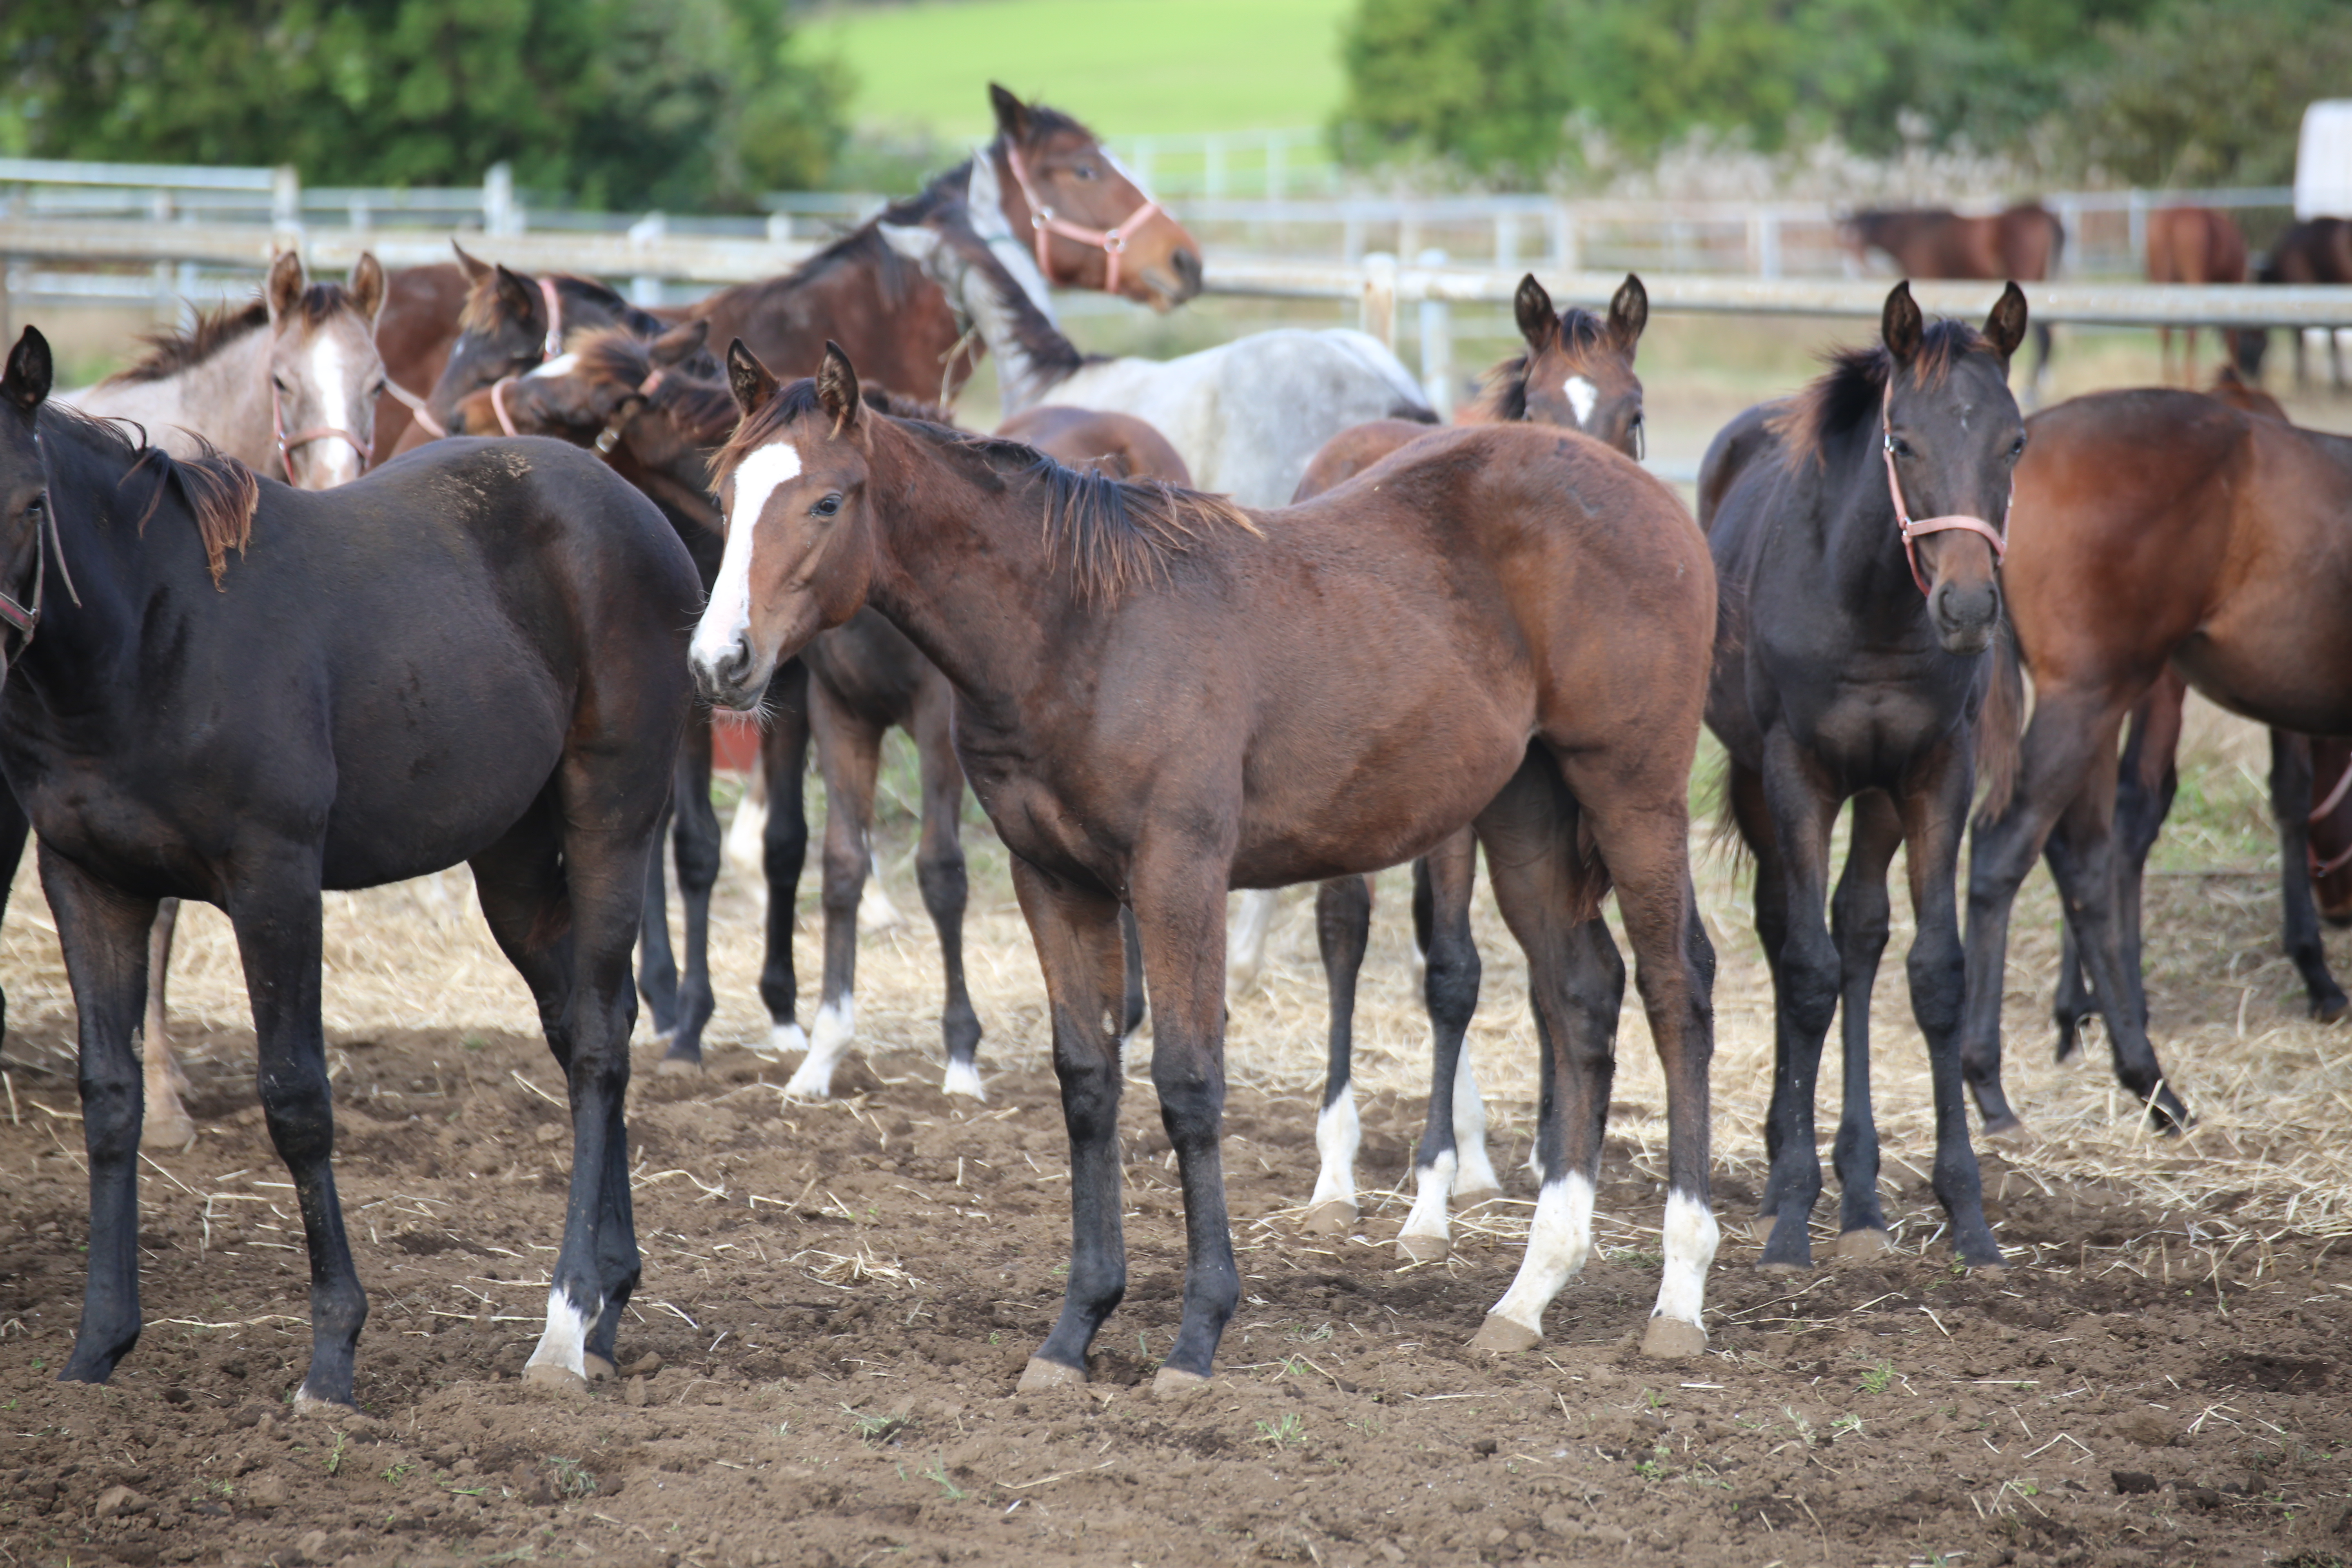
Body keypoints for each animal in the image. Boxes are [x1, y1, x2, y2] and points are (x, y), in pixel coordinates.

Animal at [686, 339, 1722, 1392]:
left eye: (826, 500)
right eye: (723, 494)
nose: (720, 661)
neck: (1081, 630)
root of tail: (1643, 490)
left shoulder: (1177, 874)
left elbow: (1188, 1084)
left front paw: (1196, 1335)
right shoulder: (1052, 880)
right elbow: (1087, 1081)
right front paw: (1074, 1329)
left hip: (1632, 794)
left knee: (1674, 986)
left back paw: (1679, 1290)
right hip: (1526, 813)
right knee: (1580, 995)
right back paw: (1529, 1291)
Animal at [1703, 285, 2032, 1278]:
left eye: (2015, 443)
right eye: (1902, 442)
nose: (1968, 607)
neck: (1875, 609)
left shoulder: (1931, 773)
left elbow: (1933, 972)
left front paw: (1967, 1215)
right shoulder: (1795, 770)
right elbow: (1806, 971)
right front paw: (1786, 1218)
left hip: (1880, 795)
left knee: (1858, 928)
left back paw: (1859, 1197)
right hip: (1759, 784)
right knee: (1789, 931)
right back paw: (1794, 1176)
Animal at [1844, 207, 2069, 399]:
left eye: (1856, 239)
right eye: (1844, 242)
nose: (1856, 271)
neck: (1913, 232)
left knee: (2043, 335)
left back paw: (2033, 391)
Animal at [1957, 385, 2352, 1133]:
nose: (2342, 910)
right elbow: (2291, 794)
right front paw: (2316, 970)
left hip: (2102, 699)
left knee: (2082, 857)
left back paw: (2139, 1075)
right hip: (2091, 695)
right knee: (2013, 849)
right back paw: (1999, 1082)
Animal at [2145, 207, 2248, 388]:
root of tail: (2172, 219)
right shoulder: (2234, 281)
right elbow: (2232, 337)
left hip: (2162, 280)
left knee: (2166, 332)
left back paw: (2169, 380)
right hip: (2194, 282)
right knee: (2191, 332)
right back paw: (2190, 380)